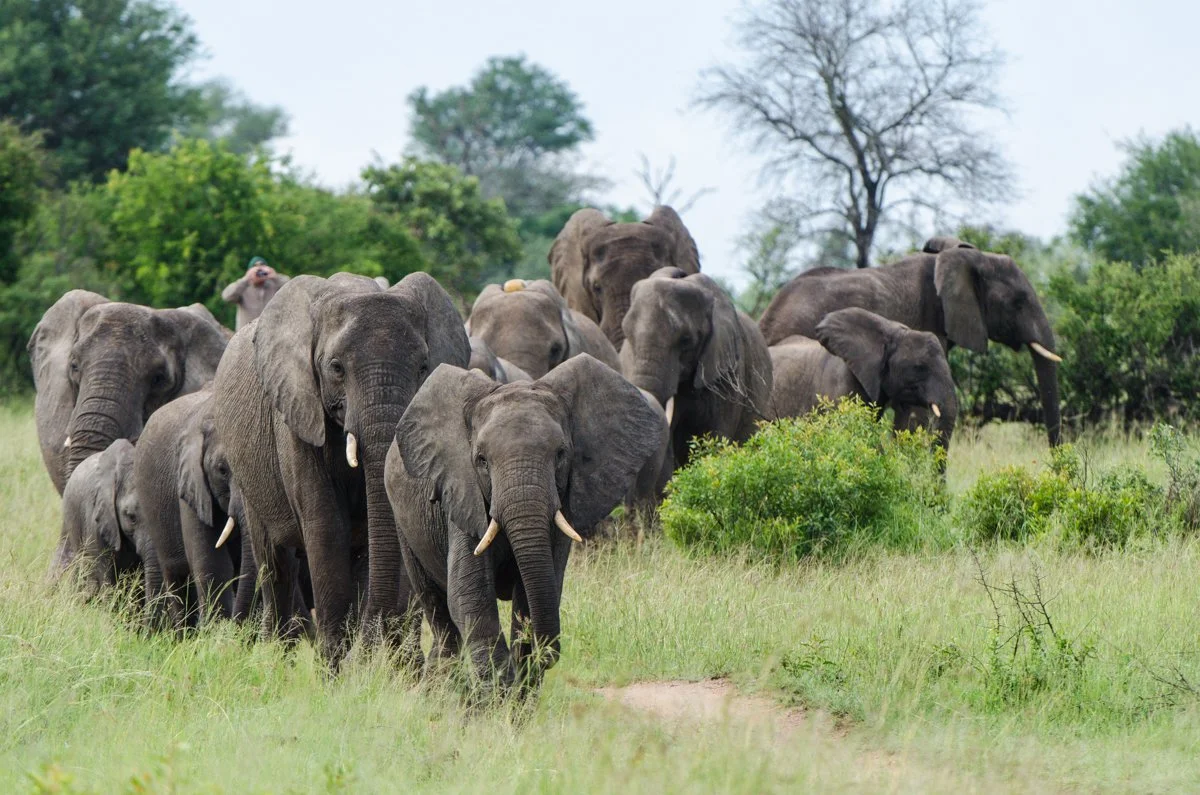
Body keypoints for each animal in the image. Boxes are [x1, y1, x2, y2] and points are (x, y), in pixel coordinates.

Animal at [133, 389, 254, 628]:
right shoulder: (191, 484)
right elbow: (212, 564)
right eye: (222, 470)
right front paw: (218, 635)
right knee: (176, 577)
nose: (237, 628)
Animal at [211, 272, 469, 665]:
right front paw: (333, 668)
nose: (374, 644)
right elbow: (326, 525)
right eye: (336, 368)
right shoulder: (297, 413)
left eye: (424, 367)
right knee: (274, 561)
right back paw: (278, 657)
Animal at [386, 354, 664, 690]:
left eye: (561, 454)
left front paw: (521, 687)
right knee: (438, 609)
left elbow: (539, 587)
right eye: (481, 460)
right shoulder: (462, 491)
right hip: (404, 524)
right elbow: (470, 593)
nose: (550, 654)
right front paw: (499, 691)